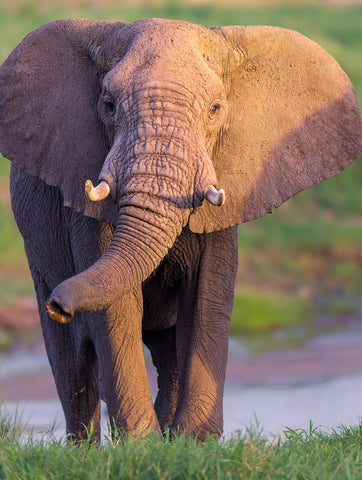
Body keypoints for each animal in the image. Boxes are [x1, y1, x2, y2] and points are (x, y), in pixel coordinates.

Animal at [0, 18, 362, 440]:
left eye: (216, 108)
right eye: (108, 105)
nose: (59, 304)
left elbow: (207, 297)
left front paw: (193, 442)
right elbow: (117, 308)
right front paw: (141, 444)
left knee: (165, 354)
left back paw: (170, 436)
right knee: (72, 369)